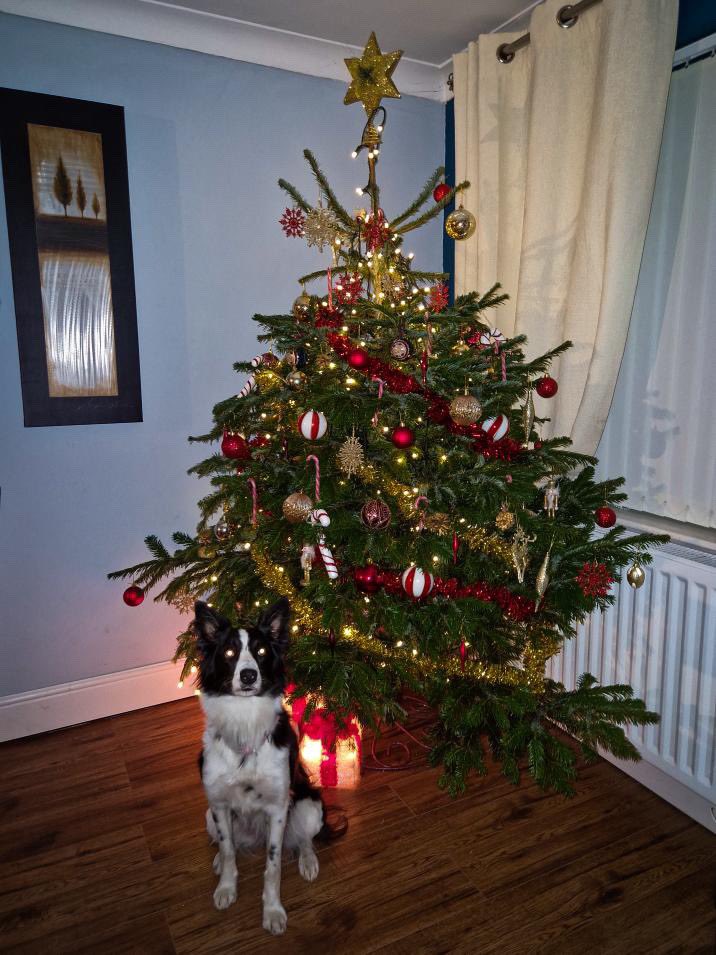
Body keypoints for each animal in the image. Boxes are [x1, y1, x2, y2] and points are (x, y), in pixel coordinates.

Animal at [196, 600, 328, 936]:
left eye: (262, 651)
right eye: (229, 652)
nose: (247, 675)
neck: (245, 722)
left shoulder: (278, 807)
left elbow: (273, 865)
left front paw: (273, 911)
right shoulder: (218, 803)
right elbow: (229, 850)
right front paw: (226, 887)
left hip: (310, 805)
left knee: (304, 838)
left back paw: (308, 861)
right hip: (208, 816)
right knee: (227, 842)